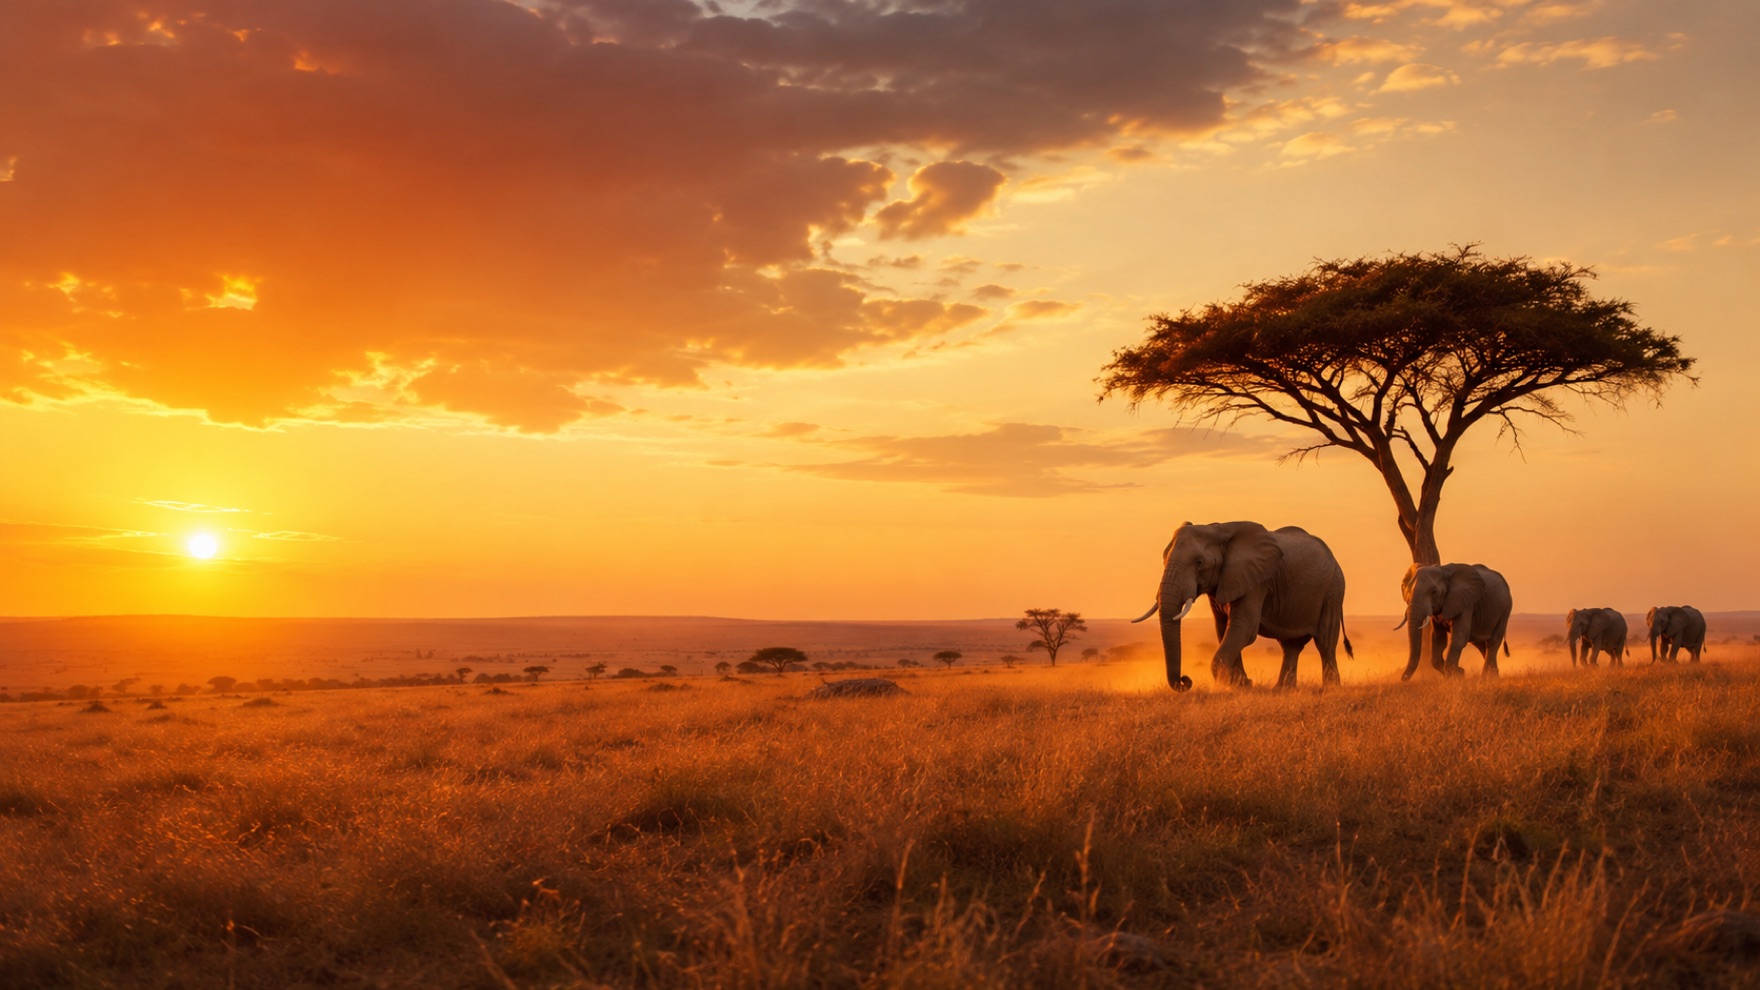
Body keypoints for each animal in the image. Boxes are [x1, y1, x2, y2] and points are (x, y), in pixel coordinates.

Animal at [1130, 521, 1352, 691]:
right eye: (1163, 560)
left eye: (1199, 562)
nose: (1186, 680)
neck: (1219, 529)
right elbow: (1223, 629)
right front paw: (1242, 684)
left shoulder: (1257, 581)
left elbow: (1243, 628)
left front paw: (1238, 685)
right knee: (1291, 646)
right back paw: (1282, 690)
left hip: (1333, 589)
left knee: (1325, 642)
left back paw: (1331, 689)